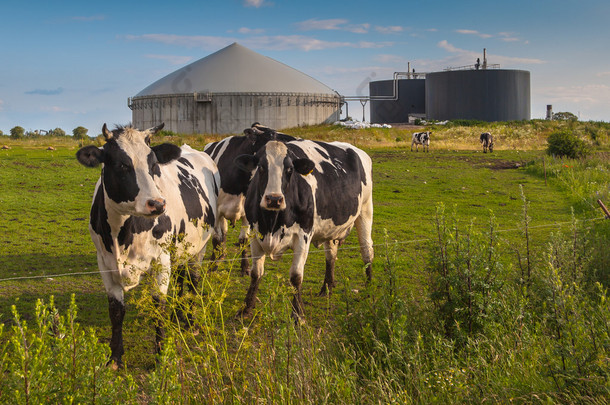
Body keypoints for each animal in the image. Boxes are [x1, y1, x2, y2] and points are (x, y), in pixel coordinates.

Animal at [75, 123, 218, 366]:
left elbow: (158, 307)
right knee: (181, 277)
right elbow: (116, 311)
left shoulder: (161, 261)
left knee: (193, 280)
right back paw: (178, 315)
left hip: (200, 246)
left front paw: (161, 356)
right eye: (122, 165)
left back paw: (190, 321)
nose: (157, 204)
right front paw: (115, 356)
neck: (122, 235)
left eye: (153, 165)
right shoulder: (104, 263)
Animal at [203, 123, 296, 274]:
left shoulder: (247, 213)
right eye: (271, 135)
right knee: (222, 234)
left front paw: (245, 266)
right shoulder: (216, 211)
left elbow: (244, 240)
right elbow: (217, 238)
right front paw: (213, 265)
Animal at [233, 139, 372, 318]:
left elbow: (296, 276)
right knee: (331, 255)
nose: (274, 199)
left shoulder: (303, 236)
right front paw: (246, 308)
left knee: (367, 250)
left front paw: (298, 314)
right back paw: (327, 288)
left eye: (290, 169)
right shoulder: (256, 235)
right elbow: (256, 273)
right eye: (262, 167)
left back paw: (369, 289)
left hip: (365, 210)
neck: (272, 223)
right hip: (331, 229)